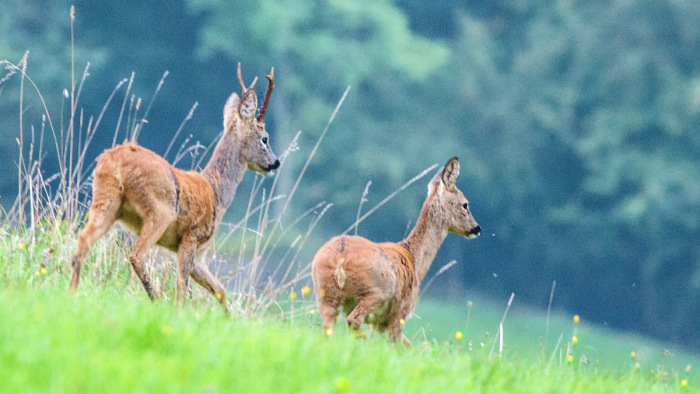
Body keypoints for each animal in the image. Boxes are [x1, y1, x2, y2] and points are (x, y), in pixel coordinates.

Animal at [69, 63, 278, 310]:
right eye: (265, 138)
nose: (275, 162)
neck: (216, 191)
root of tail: (112, 161)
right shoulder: (192, 236)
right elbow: (182, 286)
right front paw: (179, 311)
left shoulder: (199, 254)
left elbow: (220, 290)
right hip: (160, 209)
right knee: (136, 255)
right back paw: (156, 300)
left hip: (107, 201)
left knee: (83, 241)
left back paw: (71, 293)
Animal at [312, 158, 482, 344]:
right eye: (465, 204)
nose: (477, 228)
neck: (414, 259)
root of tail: (339, 259)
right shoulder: (399, 314)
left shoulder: (381, 324)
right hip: (376, 292)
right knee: (353, 320)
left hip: (325, 294)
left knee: (328, 329)